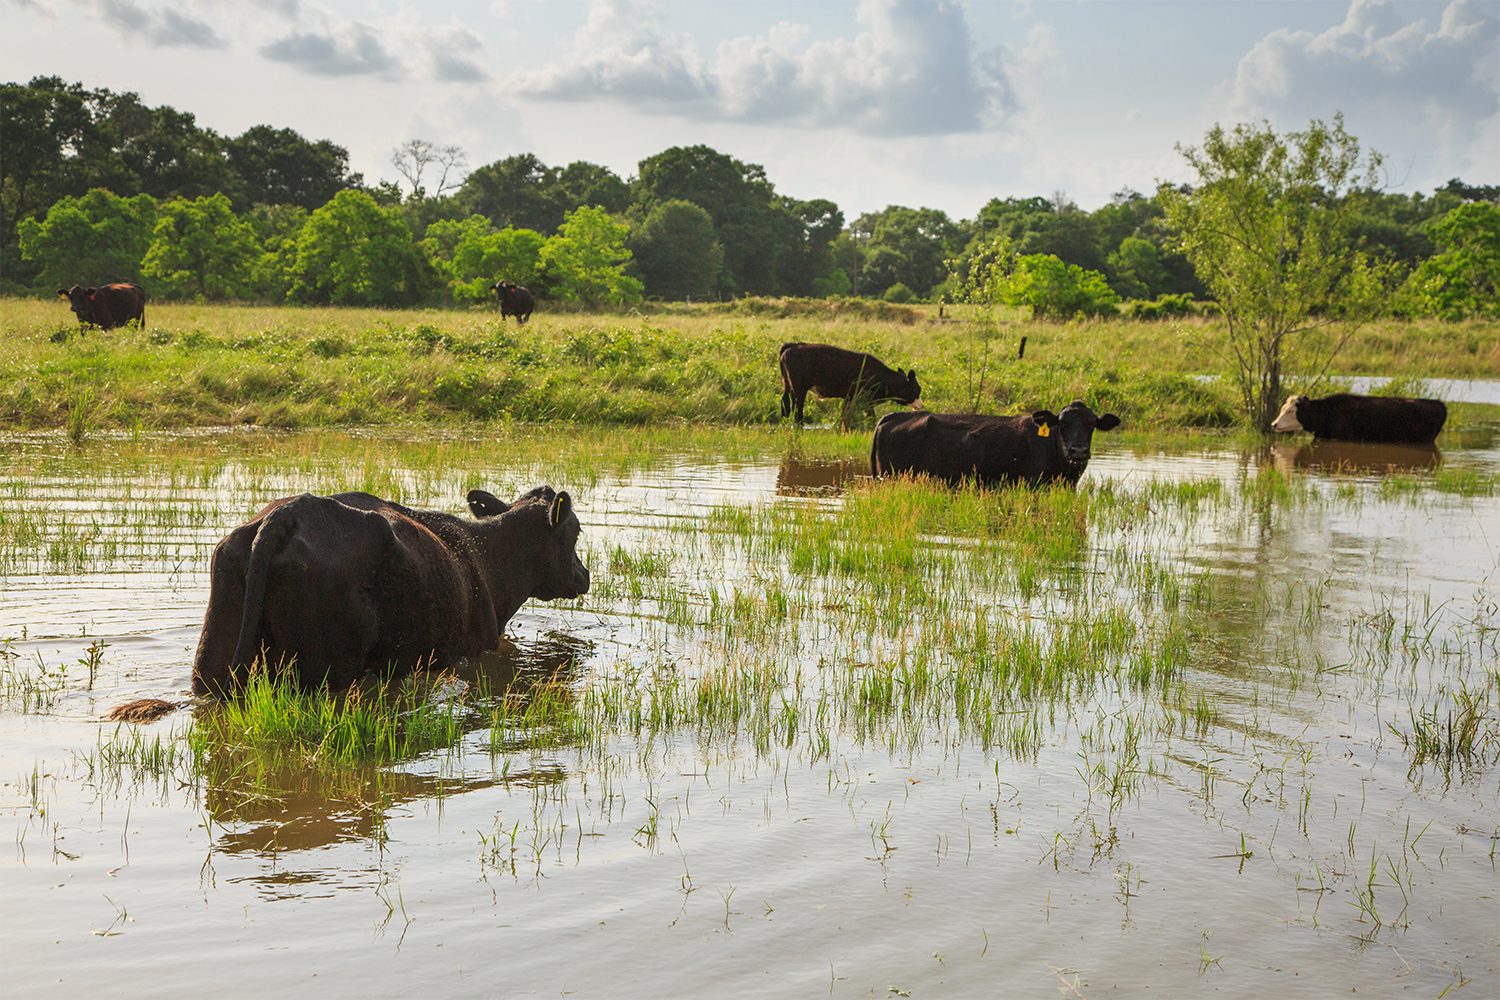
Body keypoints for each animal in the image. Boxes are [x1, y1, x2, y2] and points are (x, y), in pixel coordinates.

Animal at [198, 485, 591, 695]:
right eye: (575, 531)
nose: (585, 574)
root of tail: (288, 512)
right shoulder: (474, 649)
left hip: (213, 658)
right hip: (326, 669)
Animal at [780, 341, 918, 425]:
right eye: (916, 389)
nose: (920, 405)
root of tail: (793, 346)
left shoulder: (860, 400)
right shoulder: (857, 397)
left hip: (787, 384)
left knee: (785, 401)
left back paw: (784, 422)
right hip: (799, 388)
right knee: (797, 405)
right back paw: (799, 424)